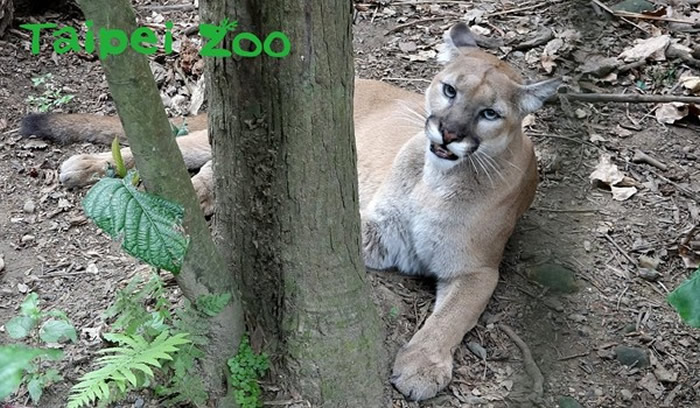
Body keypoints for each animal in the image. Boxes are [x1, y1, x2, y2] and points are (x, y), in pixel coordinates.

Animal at [19, 23, 560, 402]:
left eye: (490, 113)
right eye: (449, 90)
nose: (447, 132)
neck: (437, 179)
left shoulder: (474, 268)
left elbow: (452, 318)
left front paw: (422, 366)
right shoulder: (376, 225)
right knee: (173, 155)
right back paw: (87, 169)